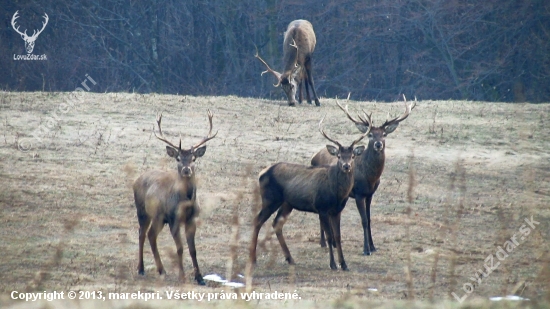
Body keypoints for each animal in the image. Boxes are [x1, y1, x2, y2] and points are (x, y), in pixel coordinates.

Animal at [134, 109, 218, 286]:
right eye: (178, 158)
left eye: (193, 158)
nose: (186, 170)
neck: (186, 203)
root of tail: (137, 179)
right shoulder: (173, 219)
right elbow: (179, 248)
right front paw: (182, 276)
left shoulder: (192, 219)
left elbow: (193, 249)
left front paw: (200, 278)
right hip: (142, 211)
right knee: (142, 233)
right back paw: (141, 269)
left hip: (158, 217)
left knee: (151, 235)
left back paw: (162, 270)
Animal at [251, 113, 374, 270]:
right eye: (339, 156)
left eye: (352, 156)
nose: (346, 166)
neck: (337, 194)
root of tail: (262, 173)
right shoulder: (322, 208)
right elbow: (329, 237)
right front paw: (332, 264)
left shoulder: (337, 210)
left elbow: (338, 237)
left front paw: (344, 264)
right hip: (270, 199)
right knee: (257, 221)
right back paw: (253, 259)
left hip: (287, 203)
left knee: (276, 223)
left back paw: (290, 258)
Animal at [312, 96, 416, 255]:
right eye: (370, 135)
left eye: (384, 134)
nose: (378, 144)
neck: (370, 177)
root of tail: (314, 156)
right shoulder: (359, 194)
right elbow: (364, 220)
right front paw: (366, 249)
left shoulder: (370, 194)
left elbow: (369, 218)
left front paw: (373, 246)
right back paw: (323, 242)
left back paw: (333, 243)